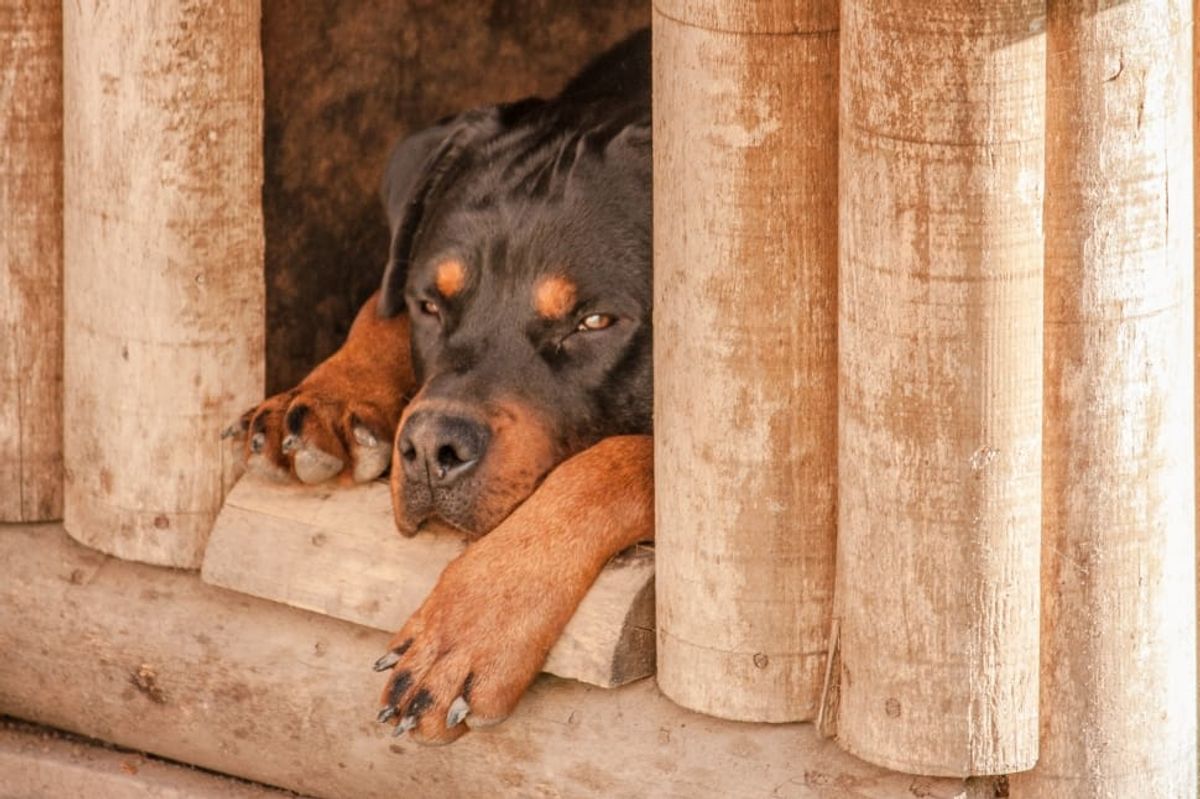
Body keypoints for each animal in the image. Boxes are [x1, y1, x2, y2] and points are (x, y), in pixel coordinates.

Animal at [228, 29, 652, 739]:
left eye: (594, 322)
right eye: (430, 304)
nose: (431, 449)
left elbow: (616, 460)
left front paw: (472, 625)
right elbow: (378, 304)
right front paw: (325, 395)